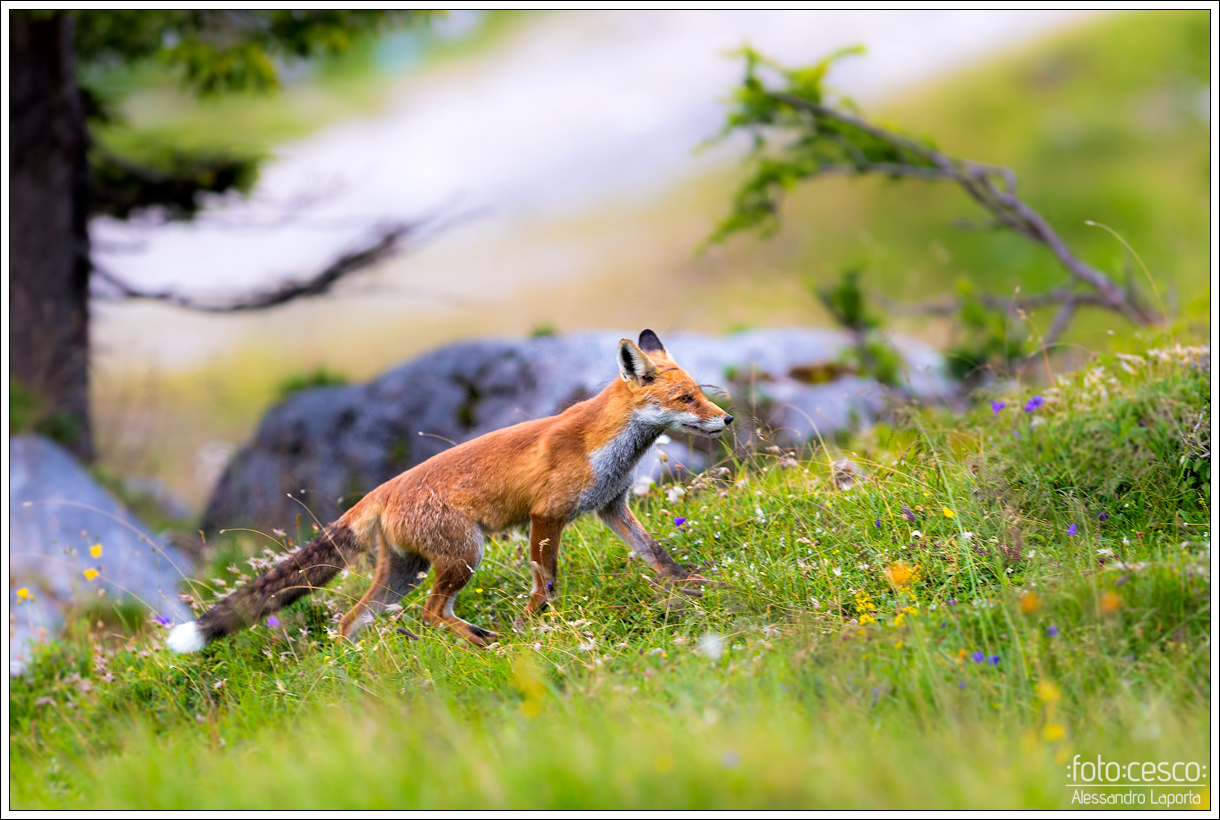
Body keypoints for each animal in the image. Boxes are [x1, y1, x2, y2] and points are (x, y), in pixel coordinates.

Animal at [167, 329, 733, 652]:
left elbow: (657, 554)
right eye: (686, 399)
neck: (606, 446)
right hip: (463, 555)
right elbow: (545, 582)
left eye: (701, 393)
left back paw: (356, 669)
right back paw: (484, 642)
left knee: (352, 620)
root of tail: (381, 491)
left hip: (407, 571)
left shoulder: (611, 506)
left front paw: (695, 585)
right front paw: (534, 625)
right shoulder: (545, 515)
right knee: (430, 613)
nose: (726, 419)